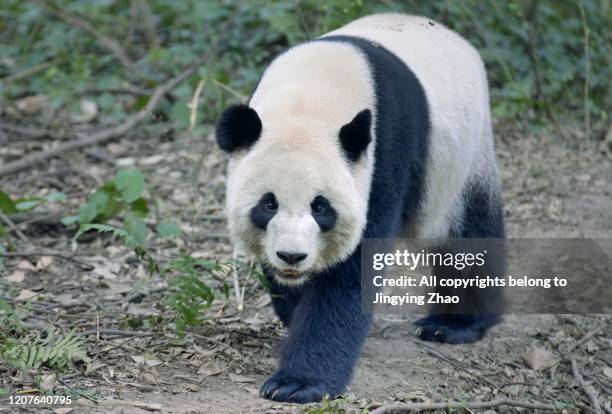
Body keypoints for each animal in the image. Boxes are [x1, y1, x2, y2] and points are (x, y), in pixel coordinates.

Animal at [213, 13, 504, 404]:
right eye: (268, 204)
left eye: (321, 207)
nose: (292, 256)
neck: (310, 99)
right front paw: (294, 310)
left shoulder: (383, 156)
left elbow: (351, 272)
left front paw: (298, 382)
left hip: (464, 158)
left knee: (469, 234)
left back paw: (454, 325)